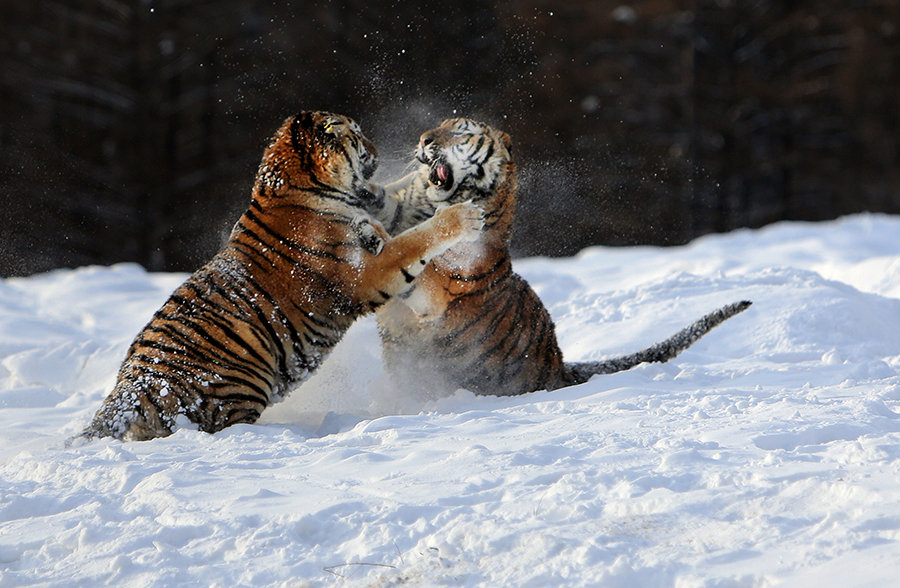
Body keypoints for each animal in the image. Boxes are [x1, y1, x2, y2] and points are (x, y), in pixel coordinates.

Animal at [78, 111, 486, 440]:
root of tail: (128, 391)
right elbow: (414, 241)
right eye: (357, 135)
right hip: (244, 371)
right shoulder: (365, 272)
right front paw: (464, 215)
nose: (376, 147)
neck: (294, 186)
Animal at [366, 117, 752, 398]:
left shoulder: (433, 292)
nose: (423, 140)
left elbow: (404, 250)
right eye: (439, 125)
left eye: (460, 131)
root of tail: (561, 367)